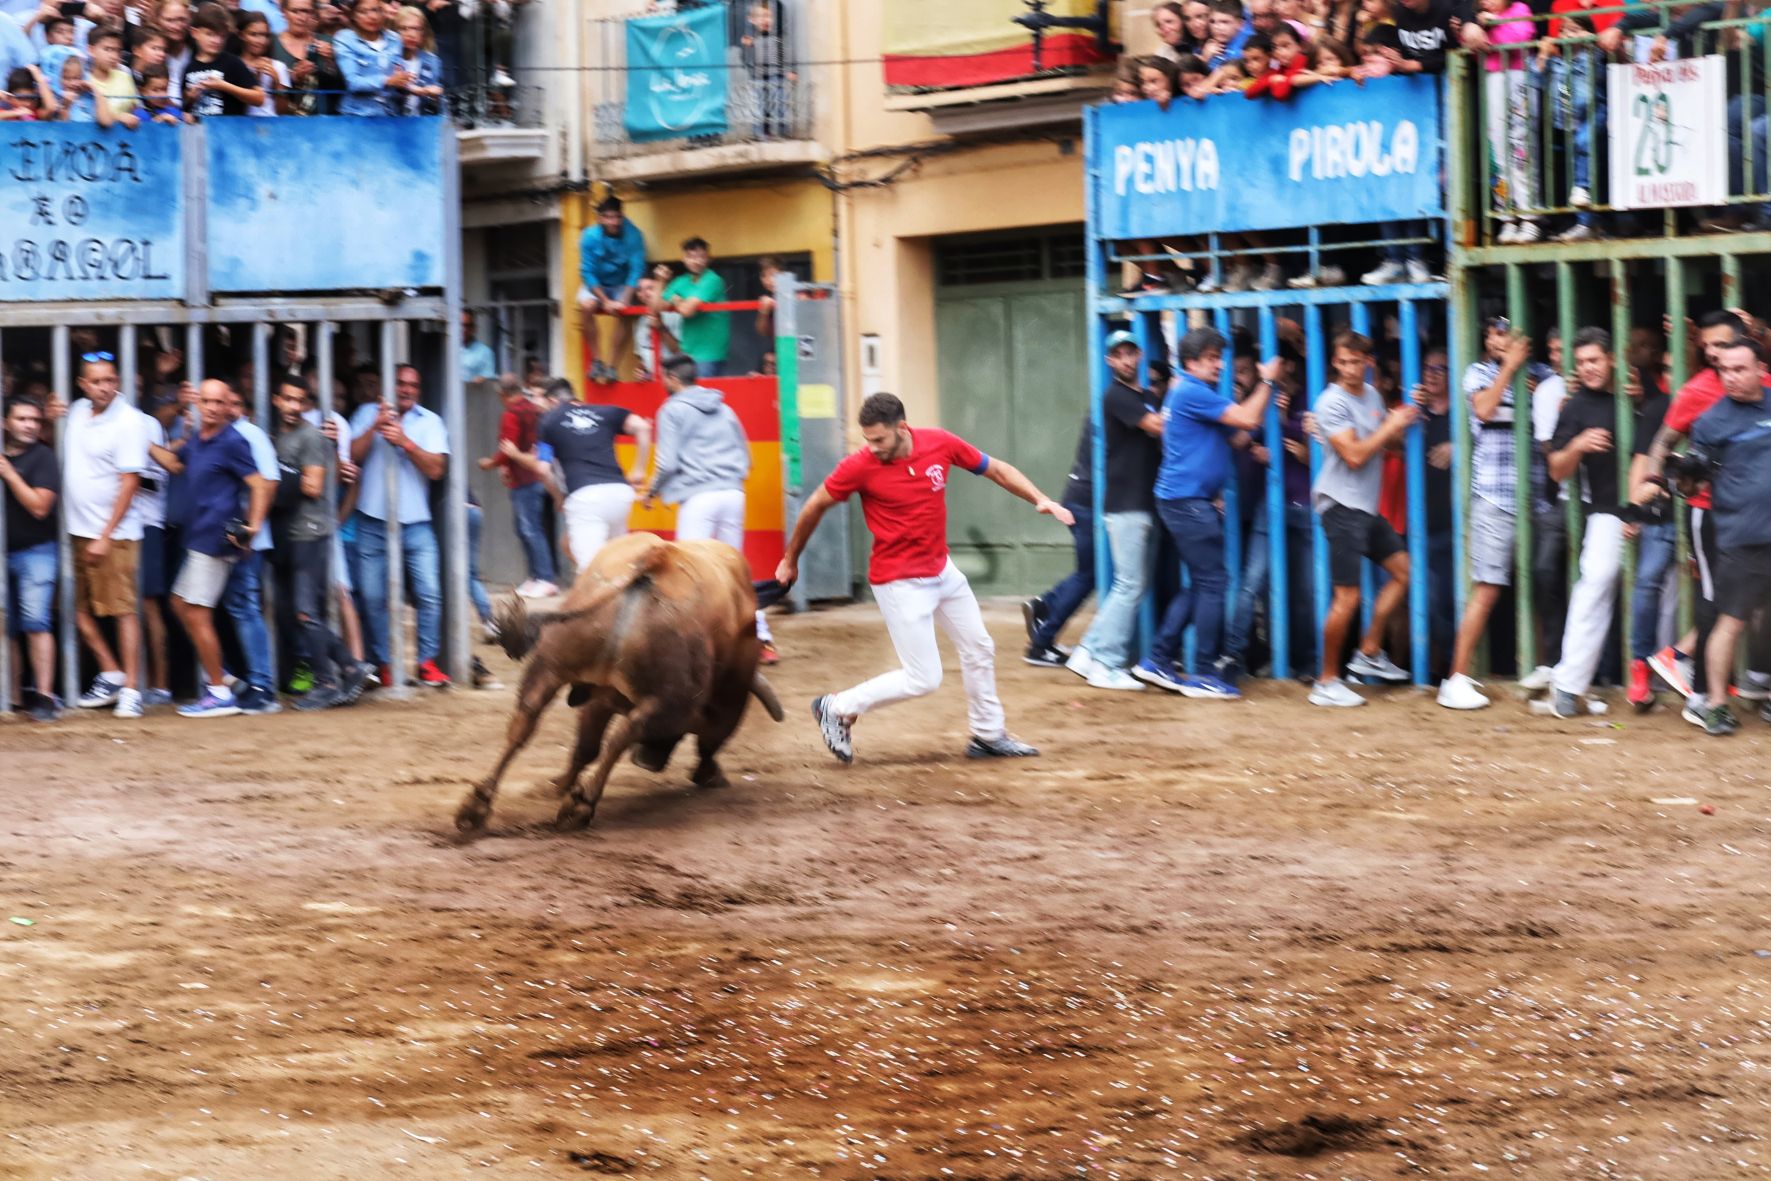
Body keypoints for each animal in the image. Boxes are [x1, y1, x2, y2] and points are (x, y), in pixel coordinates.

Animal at [456, 531, 782, 835]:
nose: (649, 761)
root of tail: (656, 559)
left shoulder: (600, 694)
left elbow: (586, 745)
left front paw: (560, 784)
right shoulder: (730, 698)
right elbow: (711, 740)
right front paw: (709, 773)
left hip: (550, 666)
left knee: (525, 720)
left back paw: (477, 805)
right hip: (670, 698)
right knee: (627, 731)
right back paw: (581, 805)